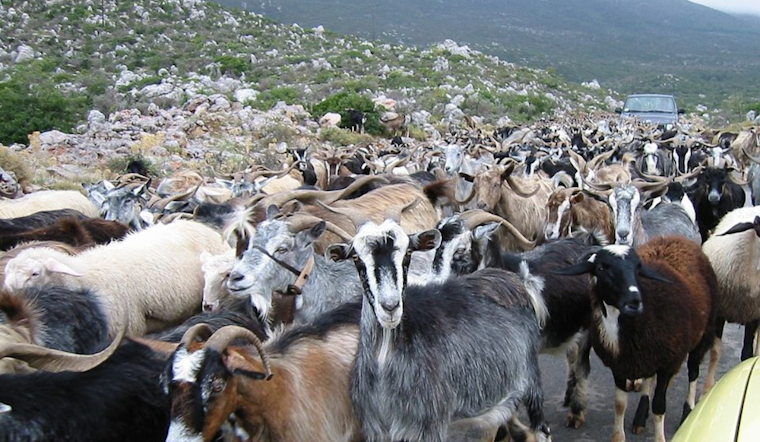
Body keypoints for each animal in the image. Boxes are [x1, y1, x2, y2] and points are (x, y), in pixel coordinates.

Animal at [327, 220, 552, 442]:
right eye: (356, 258)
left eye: (408, 253)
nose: (390, 307)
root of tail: (514, 280)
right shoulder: (375, 430)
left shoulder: (429, 426)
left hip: (531, 378)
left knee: (542, 427)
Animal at [554, 237, 717, 442]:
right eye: (601, 267)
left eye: (638, 268)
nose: (634, 302)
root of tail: (677, 239)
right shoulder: (620, 365)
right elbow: (620, 404)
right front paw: (618, 436)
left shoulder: (668, 364)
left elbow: (659, 407)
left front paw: (660, 438)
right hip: (649, 356)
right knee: (649, 380)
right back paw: (640, 418)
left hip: (703, 335)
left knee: (693, 373)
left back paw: (687, 411)